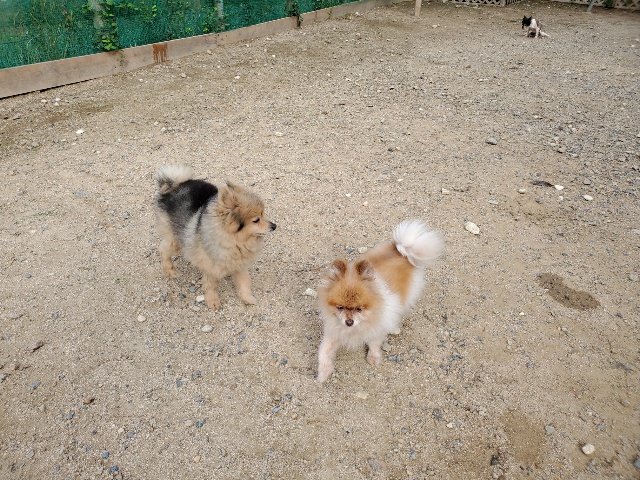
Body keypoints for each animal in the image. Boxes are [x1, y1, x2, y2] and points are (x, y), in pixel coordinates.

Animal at [154, 165, 276, 310]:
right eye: (256, 220)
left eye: (263, 214)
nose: (274, 226)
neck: (235, 241)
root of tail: (175, 185)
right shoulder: (210, 267)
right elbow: (211, 285)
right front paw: (212, 300)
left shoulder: (239, 264)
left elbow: (244, 282)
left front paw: (248, 298)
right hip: (177, 241)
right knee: (163, 249)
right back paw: (169, 270)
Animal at [316, 220, 444, 383]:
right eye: (340, 307)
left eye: (359, 309)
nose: (349, 322)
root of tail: (402, 251)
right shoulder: (334, 333)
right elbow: (324, 353)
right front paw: (323, 373)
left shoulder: (377, 329)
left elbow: (374, 344)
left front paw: (374, 358)